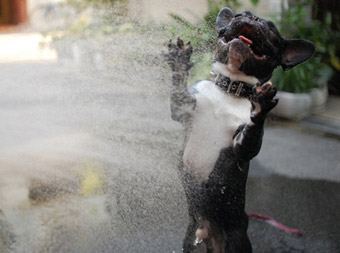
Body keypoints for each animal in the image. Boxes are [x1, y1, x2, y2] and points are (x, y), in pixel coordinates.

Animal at [164, 6, 314, 252]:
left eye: (272, 30)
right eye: (238, 15)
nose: (253, 18)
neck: (230, 89)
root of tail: (206, 231)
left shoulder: (240, 147)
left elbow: (250, 137)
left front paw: (260, 105)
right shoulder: (185, 108)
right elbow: (179, 91)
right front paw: (178, 61)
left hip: (235, 242)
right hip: (191, 241)